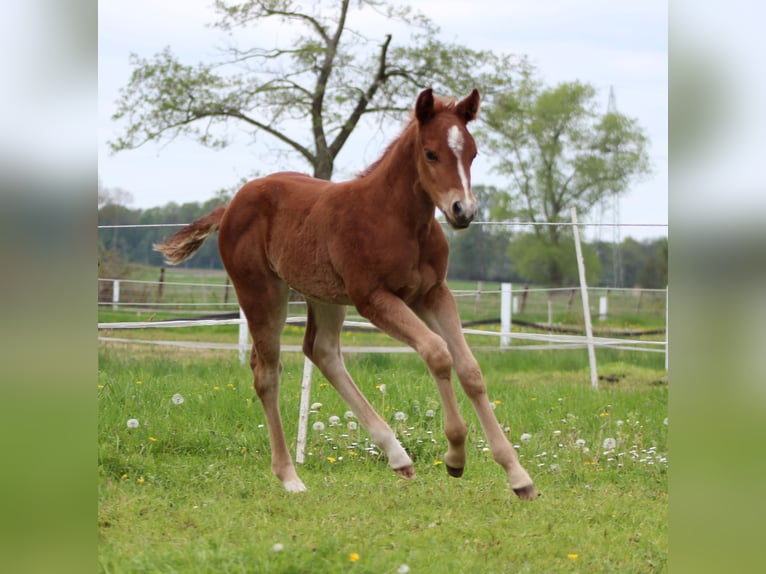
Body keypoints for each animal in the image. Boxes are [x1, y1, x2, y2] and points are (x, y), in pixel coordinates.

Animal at [155, 88, 537, 499]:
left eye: (473, 153)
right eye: (431, 153)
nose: (462, 211)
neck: (399, 220)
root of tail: (231, 206)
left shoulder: (433, 293)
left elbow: (470, 369)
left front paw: (518, 475)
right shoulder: (373, 298)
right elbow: (437, 353)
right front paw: (455, 455)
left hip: (325, 296)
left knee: (321, 351)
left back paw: (397, 456)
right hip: (261, 290)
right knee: (267, 372)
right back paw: (290, 477)